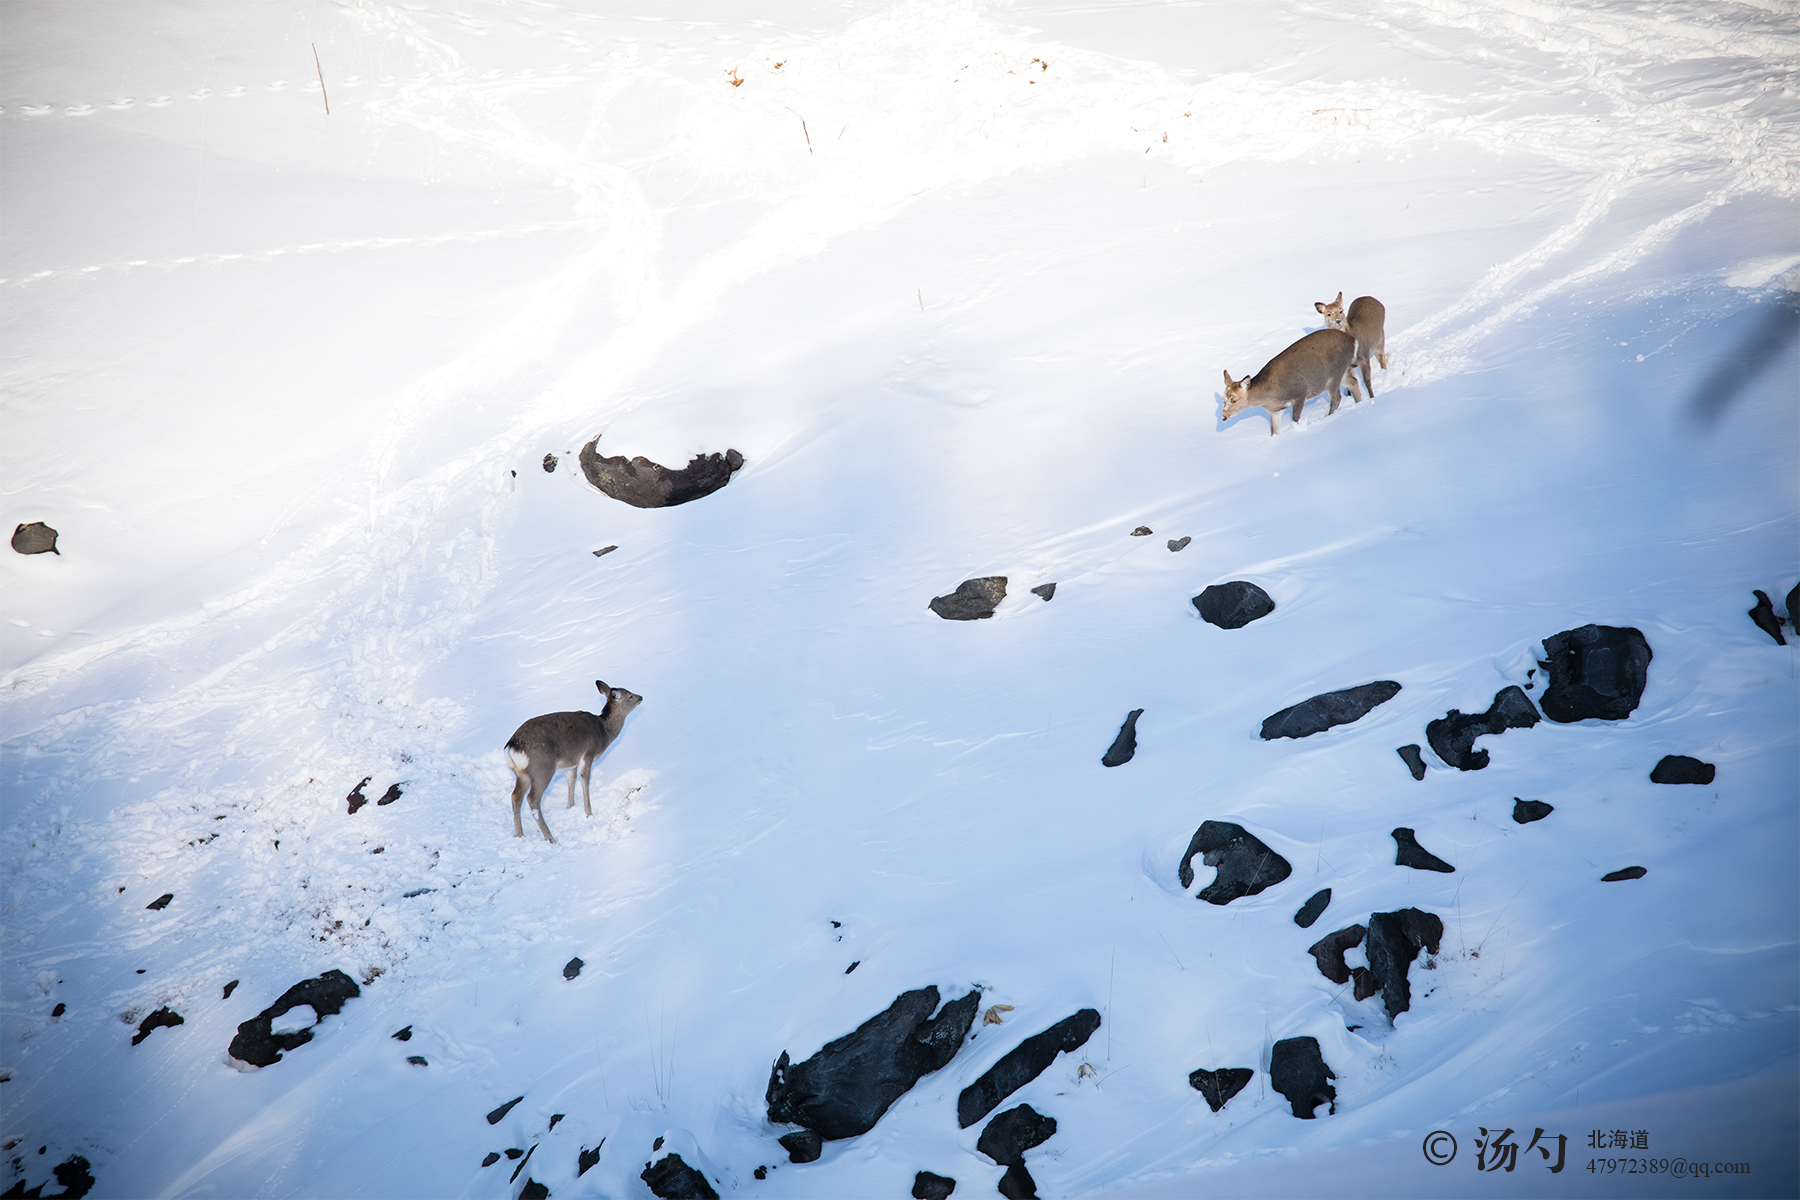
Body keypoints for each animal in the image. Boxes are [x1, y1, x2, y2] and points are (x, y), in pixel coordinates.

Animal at [504, 680, 644, 841]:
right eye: (630, 695)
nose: (641, 697)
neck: (604, 732)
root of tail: (512, 747)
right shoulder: (588, 753)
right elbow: (584, 780)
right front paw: (589, 812)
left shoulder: (570, 762)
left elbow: (571, 780)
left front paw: (570, 807)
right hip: (542, 768)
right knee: (532, 799)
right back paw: (550, 838)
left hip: (522, 774)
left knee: (516, 796)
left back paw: (519, 835)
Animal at [1224, 329, 1353, 437]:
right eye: (1223, 399)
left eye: (1234, 400)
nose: (1223, 417)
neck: (1270, 395)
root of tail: (1352, 340)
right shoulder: (1274, 411)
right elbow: (1274, 431)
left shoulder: (1300, 393)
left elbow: (1295, 419)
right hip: (1342, 372)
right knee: (1353, 382)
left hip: (1334, 375)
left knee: (1337, 398)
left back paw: (1328, 416)